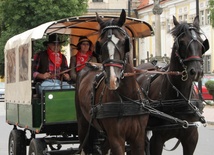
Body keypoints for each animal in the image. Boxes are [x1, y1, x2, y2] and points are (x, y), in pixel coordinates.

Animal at [76, 9, 149, 154]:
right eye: (100, 45)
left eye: (123, 43)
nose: (112, 80)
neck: (127, 98)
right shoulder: (116, 139)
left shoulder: (138, 138)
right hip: (83, 126)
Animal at [137, 15, 209, 154]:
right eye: (181, 43)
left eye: (201, 43)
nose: (197, 71)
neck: (179, 98)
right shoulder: (157, 139)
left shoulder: (191, 139)